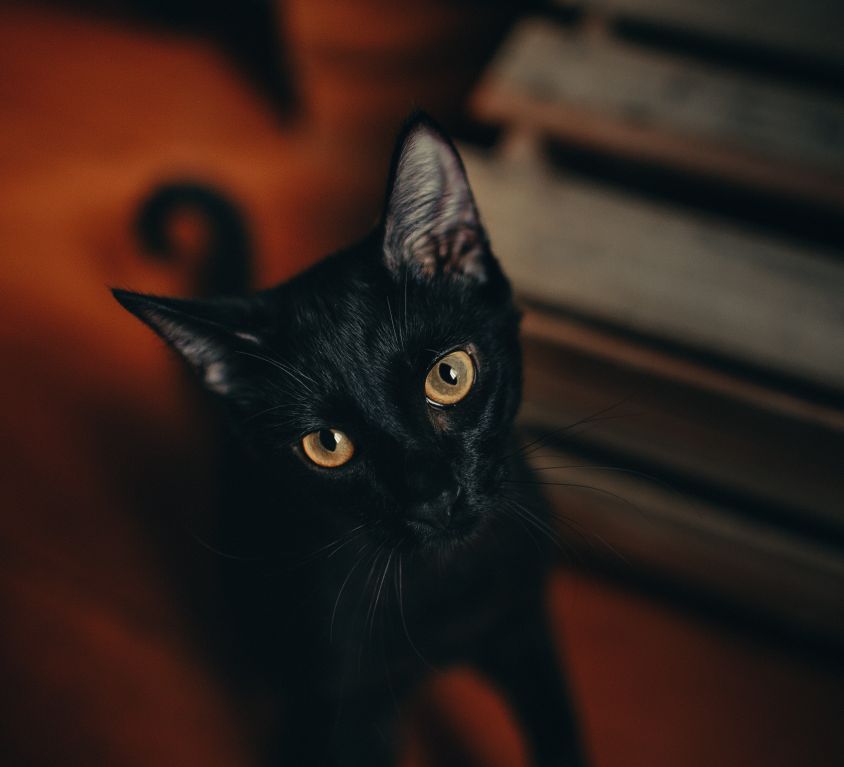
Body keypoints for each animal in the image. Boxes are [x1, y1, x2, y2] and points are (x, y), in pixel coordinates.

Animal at [113, 114, 588, 767]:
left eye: (450, 375)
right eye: (327, 445)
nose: (434, 494)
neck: (445, 585)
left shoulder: (523, 627)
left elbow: (560, 733)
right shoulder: (354, 704)